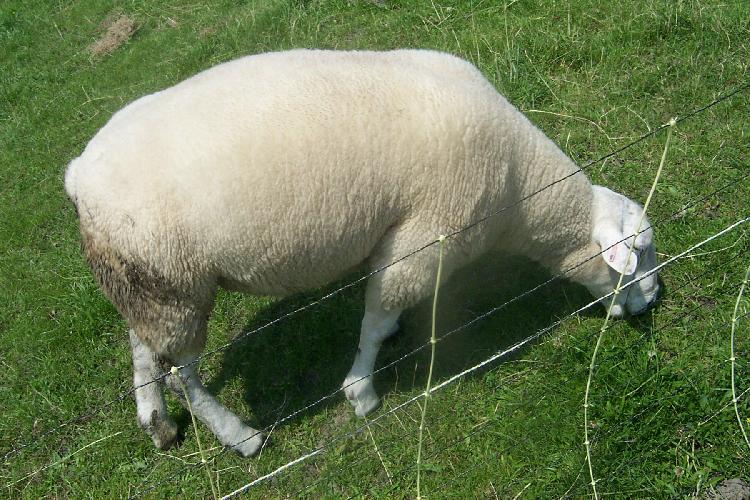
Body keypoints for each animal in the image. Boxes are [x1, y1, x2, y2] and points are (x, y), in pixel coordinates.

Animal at [64, 49, 659, 457]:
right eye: (639, 253)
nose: (652, 301)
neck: (522, 189)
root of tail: (78, 177)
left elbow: (381, 312)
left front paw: (380, 354)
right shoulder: (425, 239)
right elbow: (375, 318)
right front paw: (362, 392)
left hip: (145, 284)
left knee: (144, 353)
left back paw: (158, 424)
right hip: (175, 284)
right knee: (182, 374)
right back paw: (239, 435)